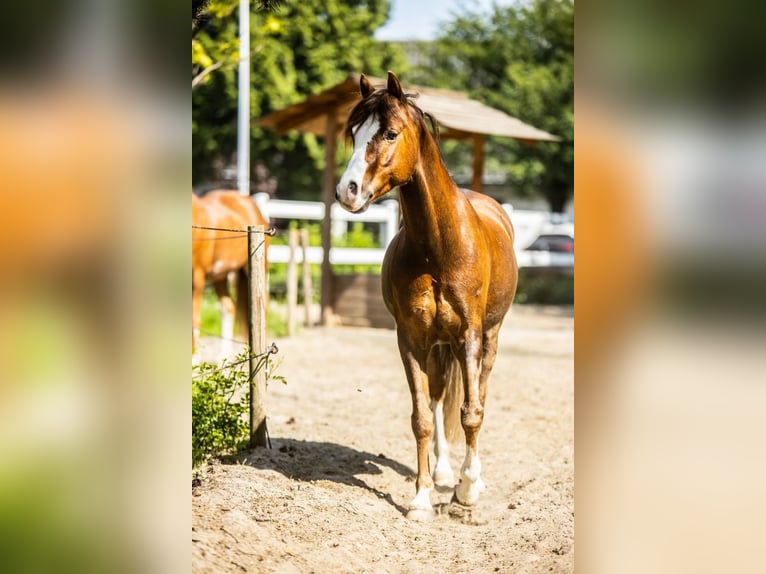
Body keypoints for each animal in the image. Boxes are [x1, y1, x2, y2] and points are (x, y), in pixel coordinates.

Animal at [336, 72, 518, 521]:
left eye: (389, 133)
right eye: (354, 133)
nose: (348, 191)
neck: (437, 249)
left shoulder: (470, 336)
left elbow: (471, 413)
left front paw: (466, 493)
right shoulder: (412, 339)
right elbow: (421, 415)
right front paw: (421, 497)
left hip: (488, 339)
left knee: (479, 395)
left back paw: (471, 478)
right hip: (438, 346)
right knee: (437, 399)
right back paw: (442, 473)